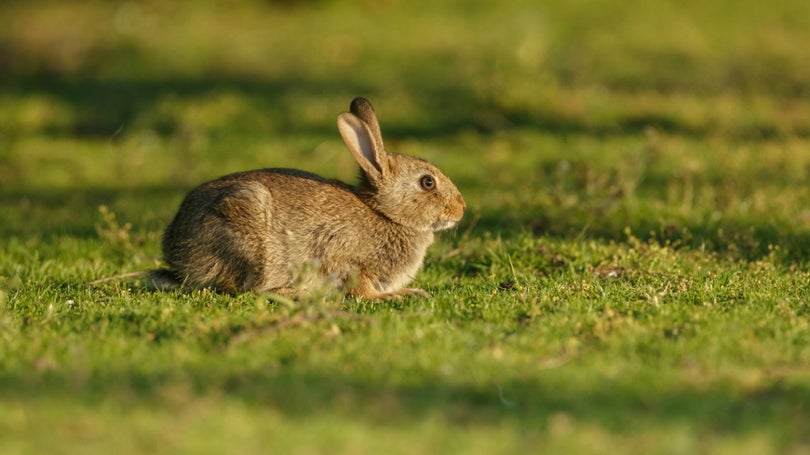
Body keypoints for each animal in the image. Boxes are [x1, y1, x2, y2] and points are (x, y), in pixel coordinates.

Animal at [150, 98, 468, 302]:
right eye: (427, 182)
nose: (461, 209)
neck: (385, 214)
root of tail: (177, 255)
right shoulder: (348, 261)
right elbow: (361, 289)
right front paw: (396, 296)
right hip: (251, 237)